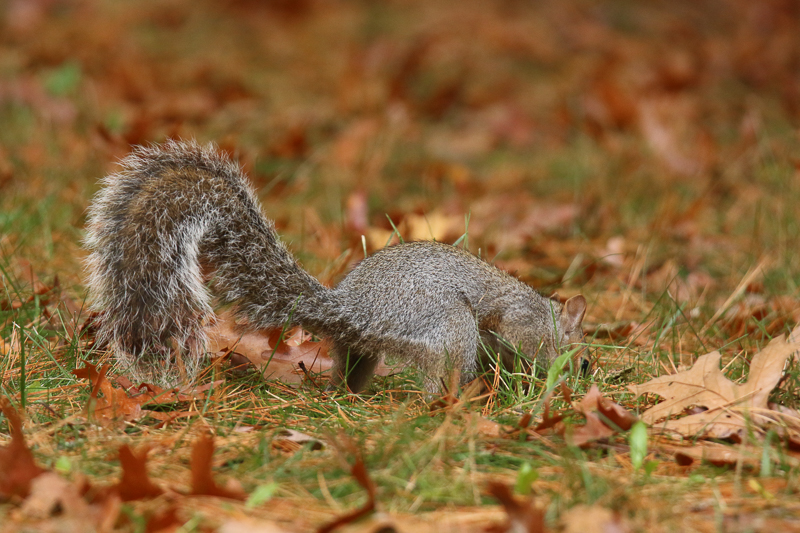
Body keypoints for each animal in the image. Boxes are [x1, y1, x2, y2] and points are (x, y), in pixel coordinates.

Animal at [84, 139, 588, 392]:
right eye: (583, 363)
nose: (580, 383)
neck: (546, 311)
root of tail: (353, 309)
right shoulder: (520, 321)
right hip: (447, 326)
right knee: (440, 379)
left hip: (361, 347)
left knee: (350, 372)